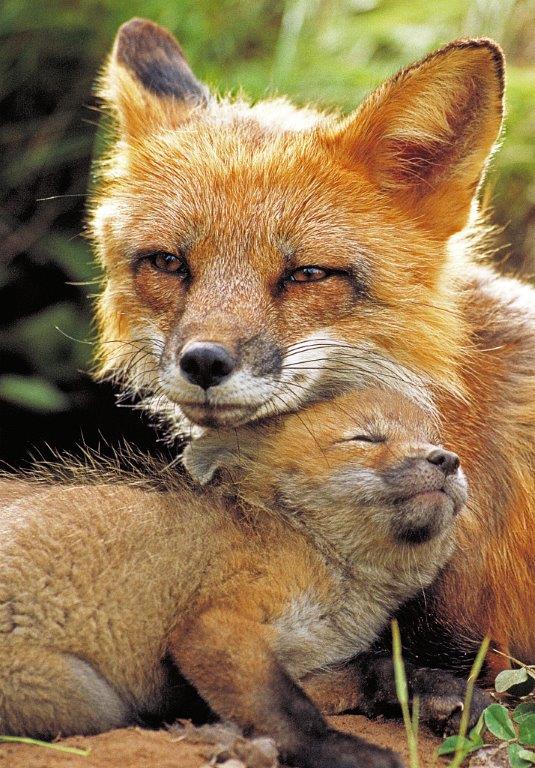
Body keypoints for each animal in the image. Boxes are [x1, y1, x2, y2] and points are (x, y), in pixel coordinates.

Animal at [0, 388, 485, 767]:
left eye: (433, 441)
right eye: (366, 437)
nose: (447, 460)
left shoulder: (299, 660)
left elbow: (374, 669)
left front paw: (446, 693)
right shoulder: (215, 626)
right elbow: (286, 711)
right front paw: (341, 751)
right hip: (91, 699)